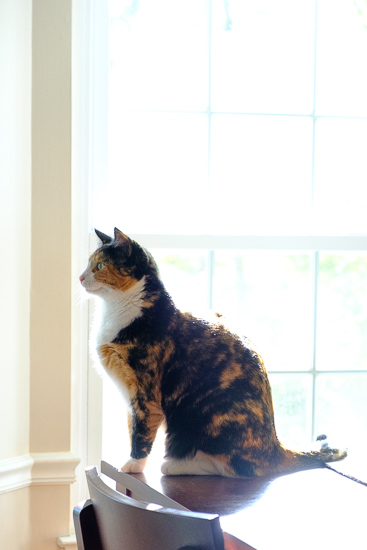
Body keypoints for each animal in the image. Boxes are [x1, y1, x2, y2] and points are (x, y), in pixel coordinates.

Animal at [79, 229, 346, 478]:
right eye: (88, 264)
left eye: (99, 266)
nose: (81, 277)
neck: (118, 313)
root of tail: (276, 445)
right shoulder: (129, 398)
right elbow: (131, 428)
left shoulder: (145, 395)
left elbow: (142, 431)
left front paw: (133, 465)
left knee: (236, 468)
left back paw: (177, 464)